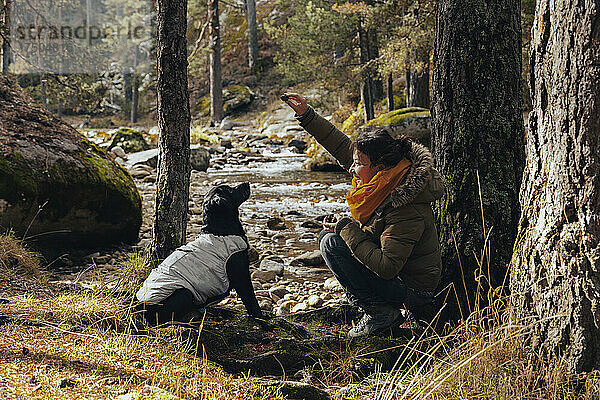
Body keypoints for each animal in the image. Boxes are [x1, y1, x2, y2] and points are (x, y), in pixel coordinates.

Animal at [138, 182, 264, 324]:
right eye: (230, 190)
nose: (247, 183)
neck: (220, 230)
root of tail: (139, 307)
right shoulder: (241, 276)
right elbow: (252, 302)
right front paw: (264, 321)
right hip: (184, 293)